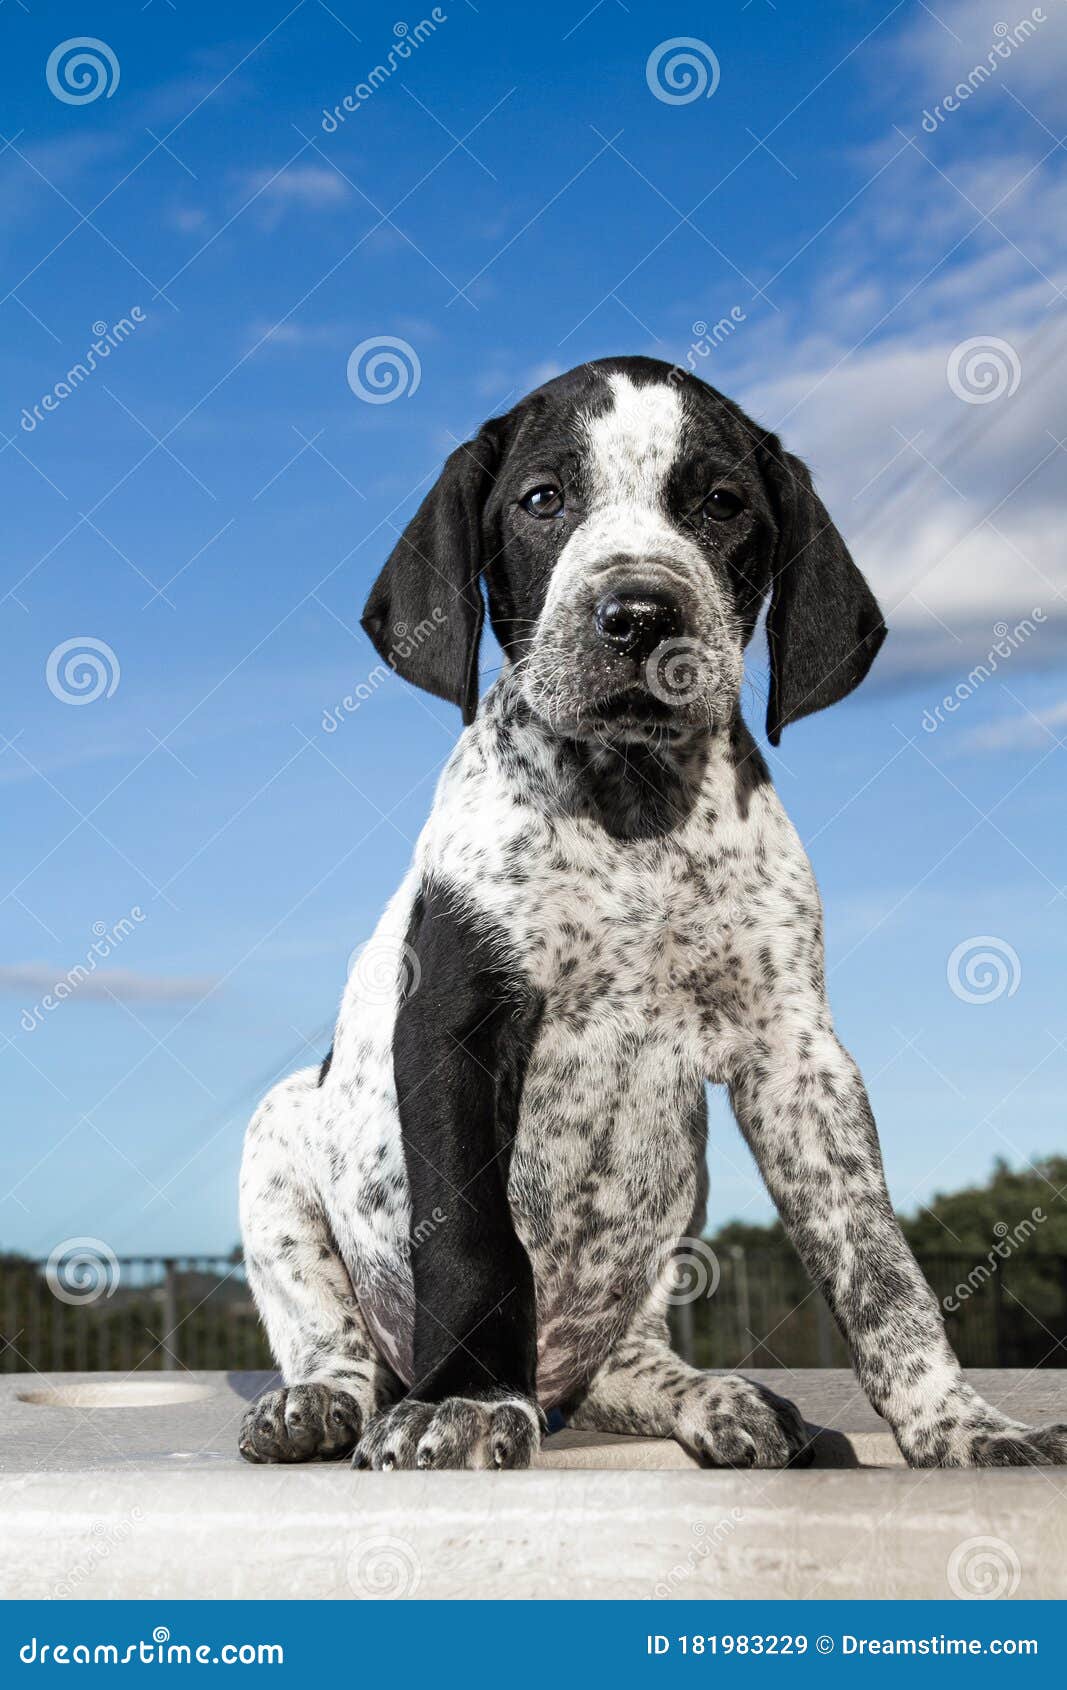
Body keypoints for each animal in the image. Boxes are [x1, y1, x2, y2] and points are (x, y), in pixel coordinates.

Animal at [240, 356, 1067, 1466]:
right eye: (543, 499)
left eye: (720, 504)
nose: (637, 614)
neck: (632, 804)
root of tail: (555, 1385)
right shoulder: (454, 1024)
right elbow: (471, 1242)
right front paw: (468, 1401)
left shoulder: (795, 1057)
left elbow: (878, 1267)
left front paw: (957, 1424)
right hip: (279, 1139)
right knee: (334, 1343)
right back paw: (320, 1403)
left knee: (628, 1366)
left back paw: (720, 1402)